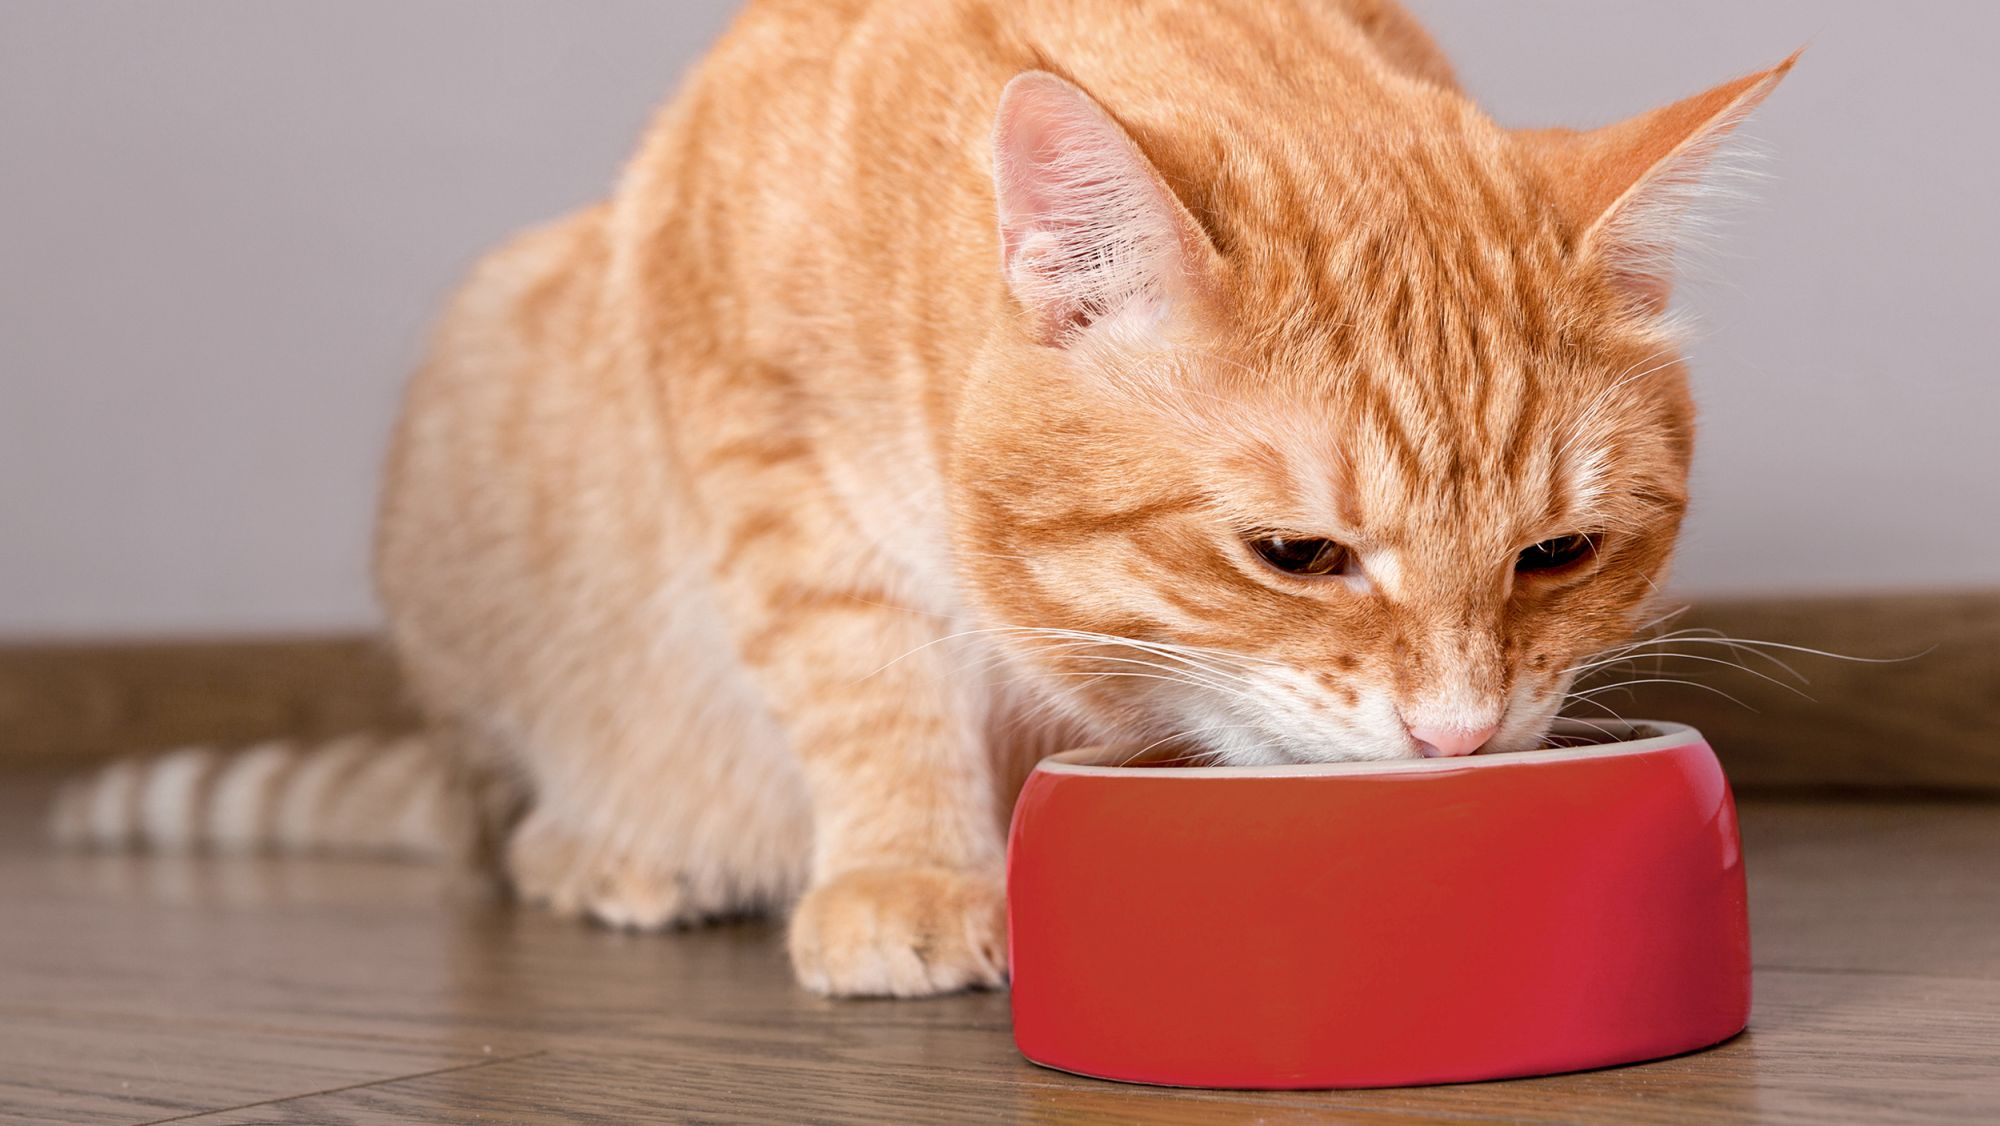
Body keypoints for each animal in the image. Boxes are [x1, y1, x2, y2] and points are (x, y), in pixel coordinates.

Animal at [47, 0, 1800, 1000]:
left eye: (1560, 553)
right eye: (1296, 554)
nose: (1459, 738)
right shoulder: (764, 454)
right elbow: (862, 673)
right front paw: (909, 875)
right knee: (503, 819)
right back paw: (611, 853)